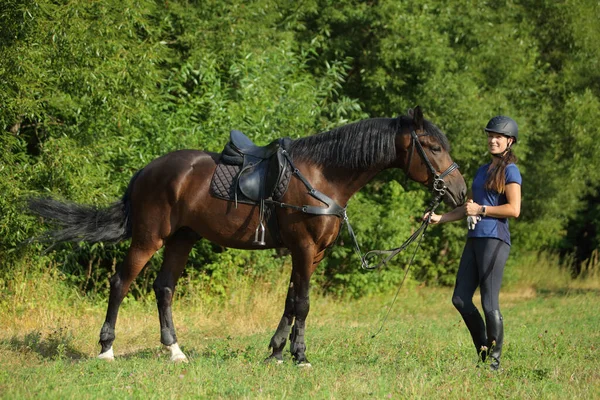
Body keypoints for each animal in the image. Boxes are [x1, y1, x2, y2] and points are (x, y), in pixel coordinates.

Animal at [27, 105, 468, 366]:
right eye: (431, 146)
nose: (460, 192)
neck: (324, 176)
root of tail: (147, 171)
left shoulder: (312, 254)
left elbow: (291, 302)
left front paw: (276, 353)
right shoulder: (303, 248)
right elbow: (303, 303)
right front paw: (300, 356)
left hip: (182, 238)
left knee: (164, 288)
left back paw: (175, 351)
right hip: (149, 238)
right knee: (121, 282)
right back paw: (106, 349)